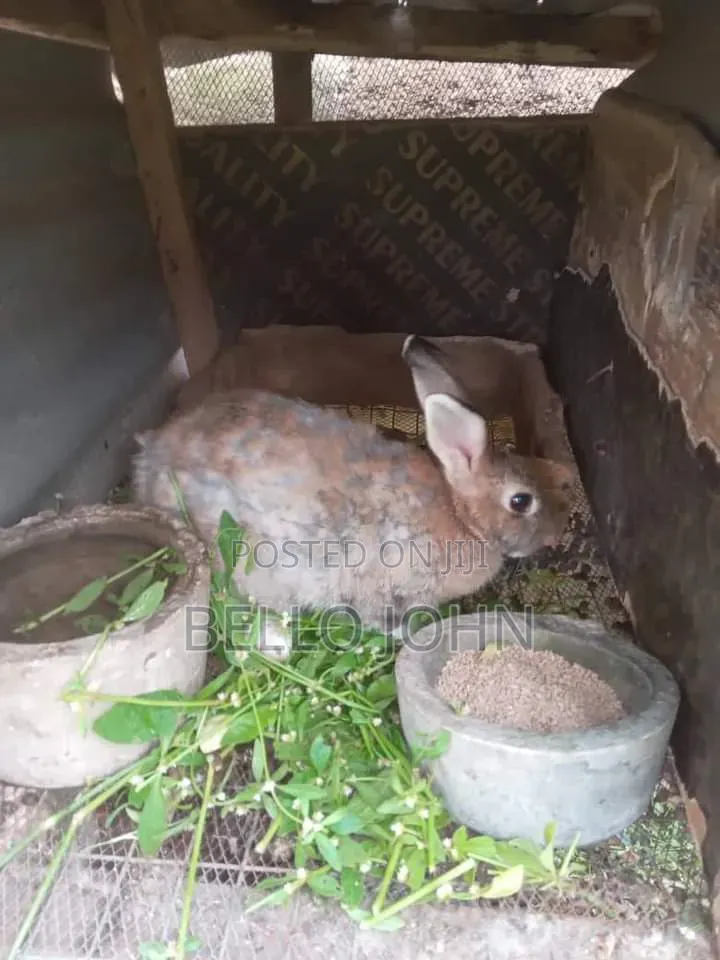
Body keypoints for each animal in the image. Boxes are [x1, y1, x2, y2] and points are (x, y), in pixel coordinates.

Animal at [131, 337, 574, 659]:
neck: (460, 515)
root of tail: (148, 462)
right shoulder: (381, 583)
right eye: (521, 501)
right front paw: (401, 634)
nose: (555, 535)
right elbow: (379, 616)